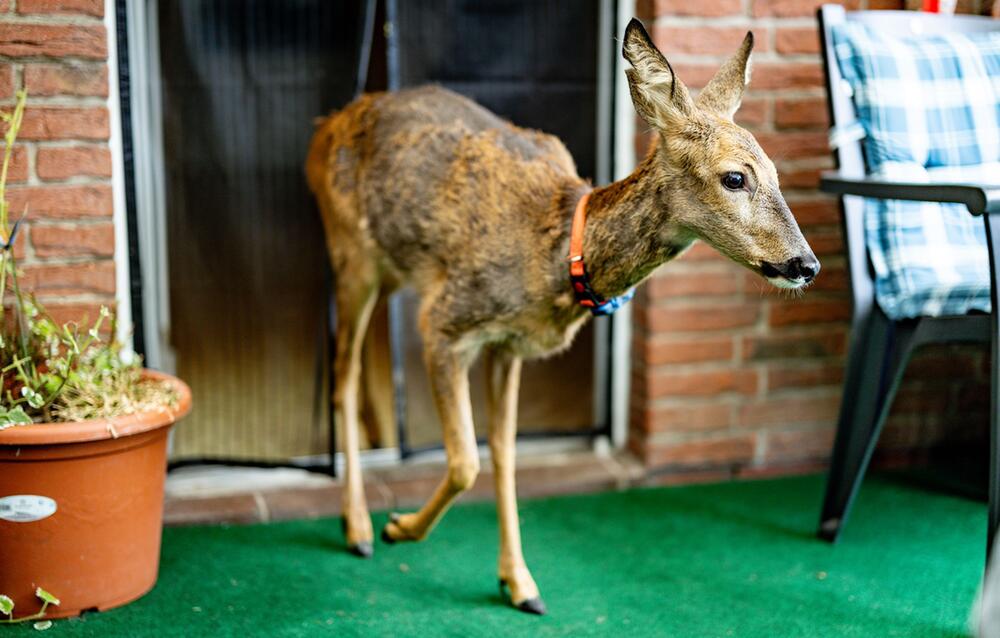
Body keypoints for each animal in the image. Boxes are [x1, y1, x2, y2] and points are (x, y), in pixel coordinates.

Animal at [306, 20, 820, 616]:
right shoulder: (444, 321)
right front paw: (400, 529)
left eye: (778, 173)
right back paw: (359, 528)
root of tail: (324, 128)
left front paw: (519, 582)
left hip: (386, 268)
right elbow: (465, 461)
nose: (807, 265)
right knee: (341, 378)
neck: (557, 255)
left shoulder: (510, 346)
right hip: (349, 252)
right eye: (735, 178)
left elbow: (503, 453)